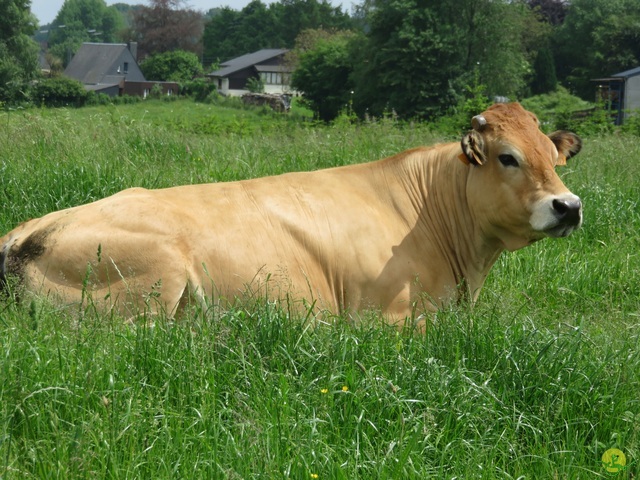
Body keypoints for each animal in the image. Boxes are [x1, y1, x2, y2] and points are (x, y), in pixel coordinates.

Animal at [0, 101, 580, 326]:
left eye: (554, 159)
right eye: (507, 157)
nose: (568, 206)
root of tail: (25, 235)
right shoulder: (386, 318)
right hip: (152, 279)